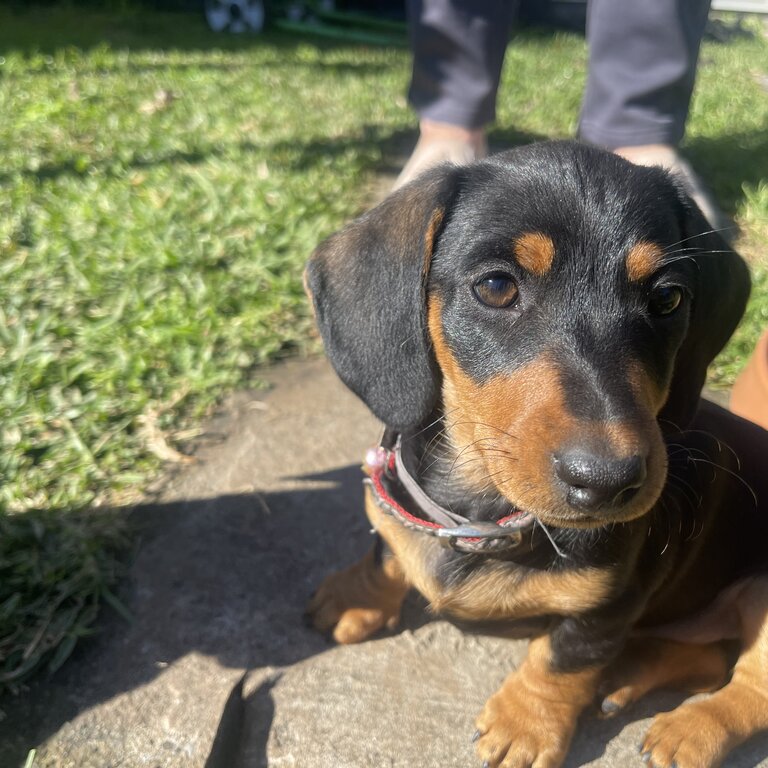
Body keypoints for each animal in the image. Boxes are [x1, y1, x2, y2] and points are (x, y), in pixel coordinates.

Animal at [304, 142, 764, 768]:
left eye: (668, 298)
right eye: (497, 286)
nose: (609, 482)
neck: (484, 515)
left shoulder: (611, 602)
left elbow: (563, 658)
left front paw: (525, 724)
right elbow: (386, 552)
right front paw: (356, 595)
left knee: (748, 687)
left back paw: (688, 730)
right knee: (712, 658)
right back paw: (629, 674)